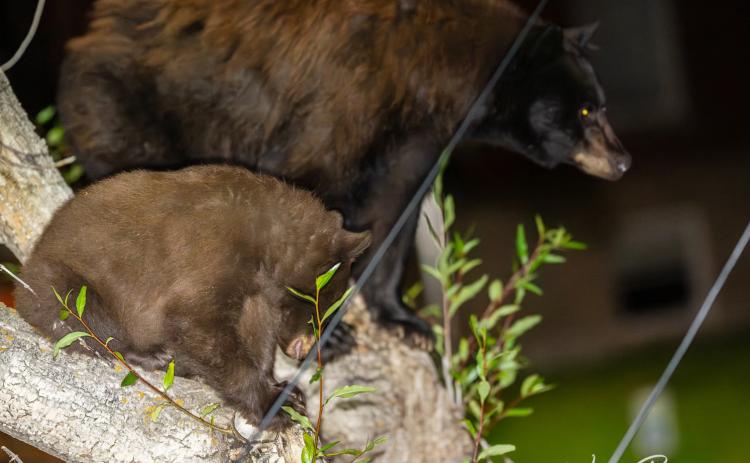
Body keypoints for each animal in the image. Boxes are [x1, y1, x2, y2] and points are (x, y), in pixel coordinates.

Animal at [14, 165, 371, 428]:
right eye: (324, 307)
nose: (306, 350)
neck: (267, 243)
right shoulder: (211, 253)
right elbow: (196, 323)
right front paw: (273, 407)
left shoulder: (254, 291)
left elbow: (256, 332)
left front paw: (282, 389)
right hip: (64, 283)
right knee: (88, 322)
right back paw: (154, 355)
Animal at [57, 0, 631, 346]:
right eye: (586, 111)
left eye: (601, 104)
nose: (623, 160)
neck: (427, 77)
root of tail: (89, 32)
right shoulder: (344, 101)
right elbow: (309, 198)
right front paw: (327, 333)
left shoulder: (415, 145)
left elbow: (392, 218)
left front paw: (402, 319)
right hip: (131, 102)